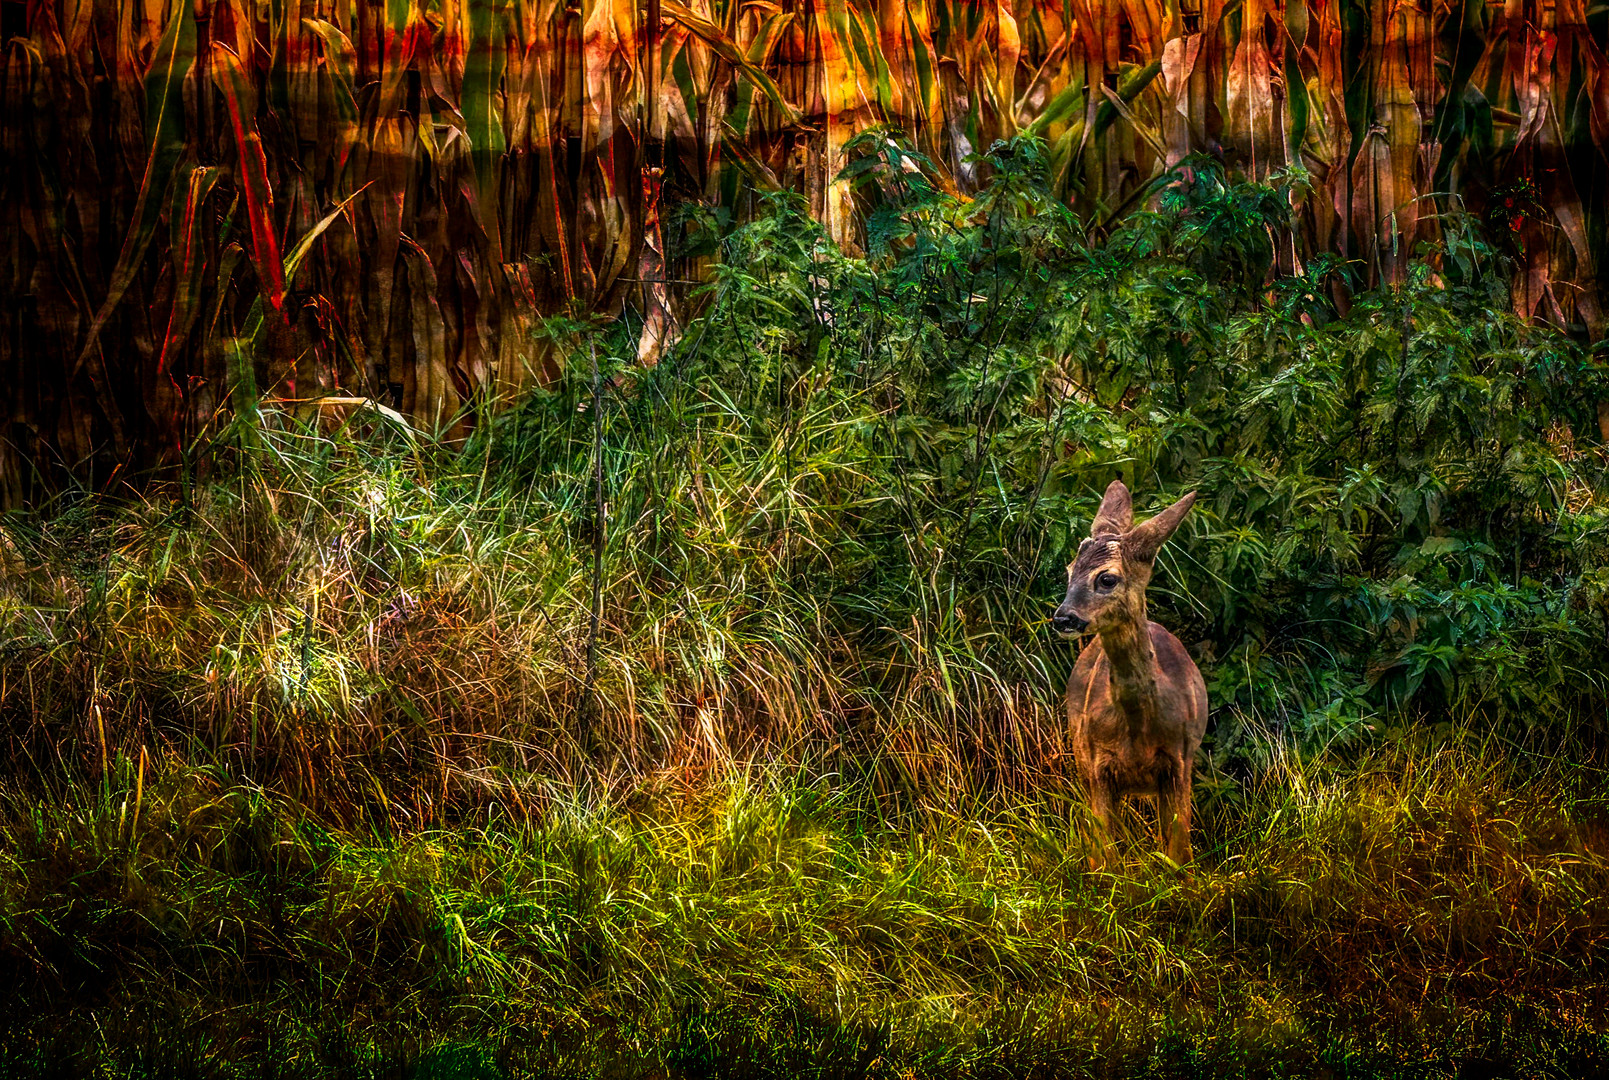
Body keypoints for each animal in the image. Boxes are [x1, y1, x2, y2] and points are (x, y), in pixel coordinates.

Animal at [1055, 482, 1209, 869]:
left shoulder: (1180, 762)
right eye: (1069, 570)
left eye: (1107, 578)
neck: (1138, 728)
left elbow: (1179, 852)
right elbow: (1104, 855)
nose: (1063, 618)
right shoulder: (1098, 767)